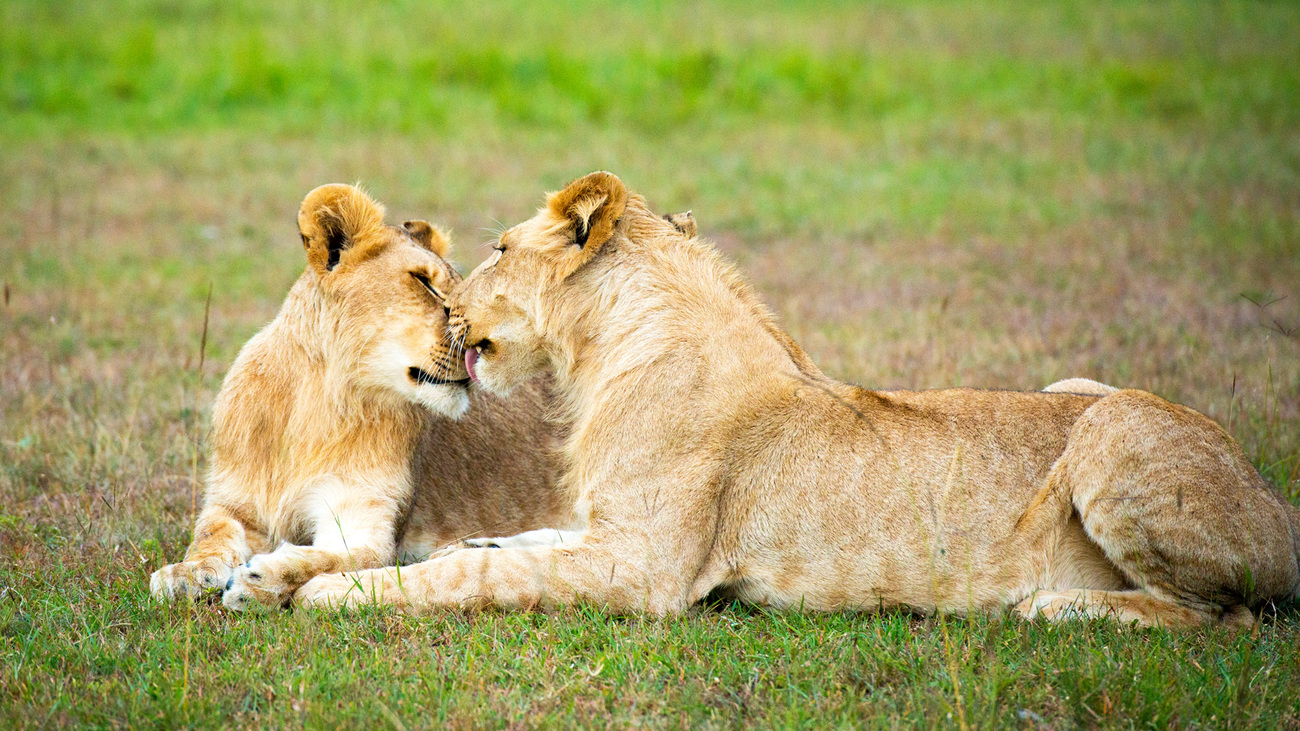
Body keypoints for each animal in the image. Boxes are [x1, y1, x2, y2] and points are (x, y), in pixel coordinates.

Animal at [148, 183, 574, 608]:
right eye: (423, 282)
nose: (477, 347)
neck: (321, 401)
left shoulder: (364, 516)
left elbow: (336, 558)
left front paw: (260, 580)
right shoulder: (235, 502)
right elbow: (211, 534)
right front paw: (187, 573)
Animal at [297, 171, 1300, 626]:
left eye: (500, 249)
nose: (450, 308)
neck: (604, 356)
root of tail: (1272, 496)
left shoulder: (646, 570)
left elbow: (474, 576)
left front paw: (333, 589)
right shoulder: (605, 531)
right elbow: (515, 543)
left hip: (1114, 425)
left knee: (1227, 614)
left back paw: (1052, 606)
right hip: (1082, 387)